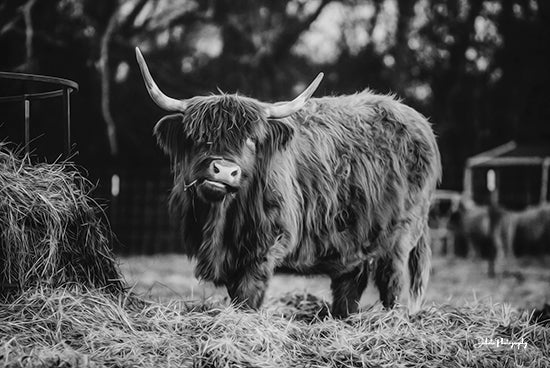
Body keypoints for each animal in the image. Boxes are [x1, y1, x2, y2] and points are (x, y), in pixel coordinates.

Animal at [136, 47, 442, 318]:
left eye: (251, 140)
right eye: (200, 136)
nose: (224, 171)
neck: (220, 223)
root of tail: (419, 122)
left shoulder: (266, 244)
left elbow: (248, 294)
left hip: (401, 236)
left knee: (393, 281)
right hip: (354, 240)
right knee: (350, 285)